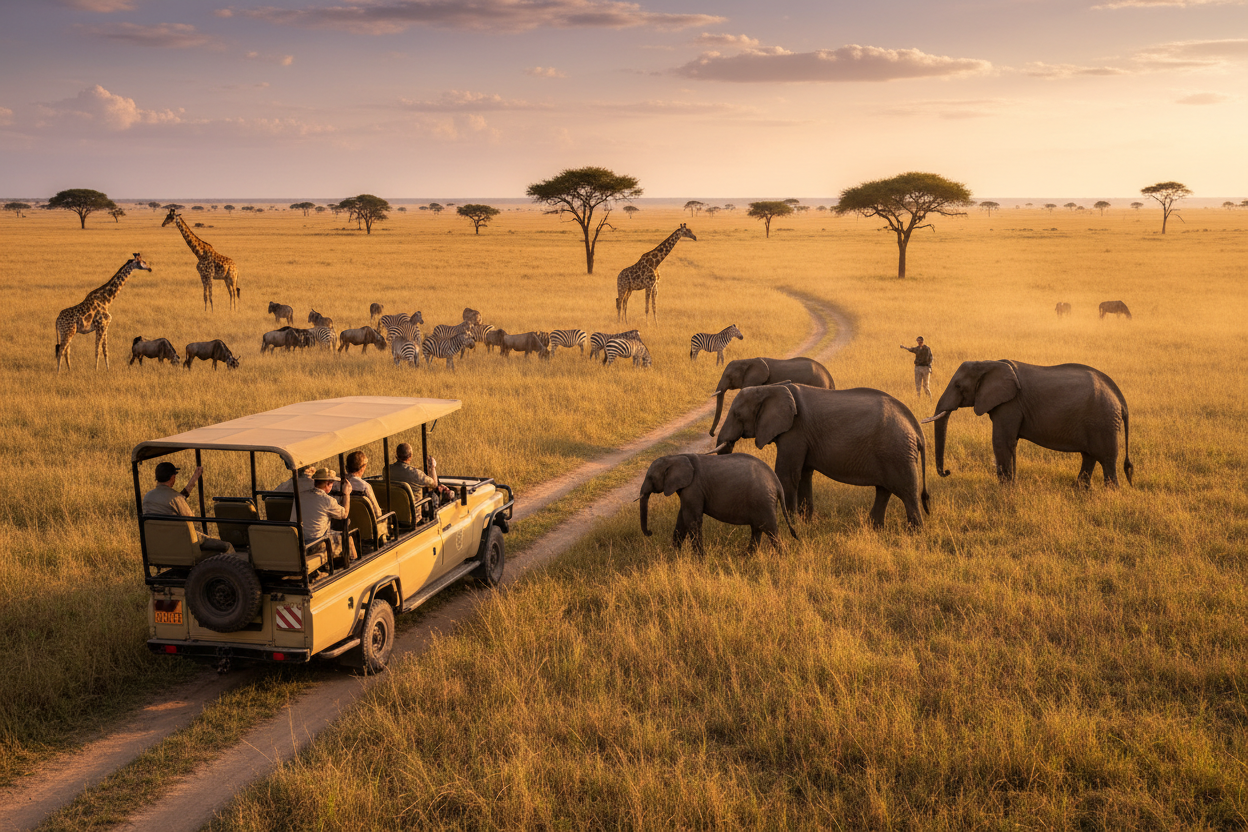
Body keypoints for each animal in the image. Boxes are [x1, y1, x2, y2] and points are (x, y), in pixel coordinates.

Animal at [639, 453, 798, 555]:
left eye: (650, 477)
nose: (650, 532)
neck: (675, 457)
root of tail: (776, 482)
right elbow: (682, 520)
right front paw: (674, 556)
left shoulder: (693, 488)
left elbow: (692, 521)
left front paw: (699, 560)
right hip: (761, 501)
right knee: (757, 529)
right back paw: (747, 557)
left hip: (763, 500)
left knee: (771, 531)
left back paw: (782, 557)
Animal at [715, 383, 930, 528]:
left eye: (737, 415)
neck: (771, 388)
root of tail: (916, 427)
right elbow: (803, 475)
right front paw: (807, 522)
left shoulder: (795, 431)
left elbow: (787, 475)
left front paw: (792, 523)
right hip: (892, 451)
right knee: (884, 490)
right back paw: (875, 528)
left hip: (897, 451)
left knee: (907, 491)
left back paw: (914, 533)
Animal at [926, 360, 1132, 488]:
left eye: (958, 386)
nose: (947, 471)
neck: (988, 363)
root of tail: (1120, 398)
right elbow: (1010, 443)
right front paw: (1011, 486)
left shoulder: (1010, 403)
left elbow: (1001, 442)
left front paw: (1005, 490)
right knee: (1088, 456)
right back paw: (1080, 491)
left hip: (1103, 421)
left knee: (1107, 459)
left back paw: (1110, 494)